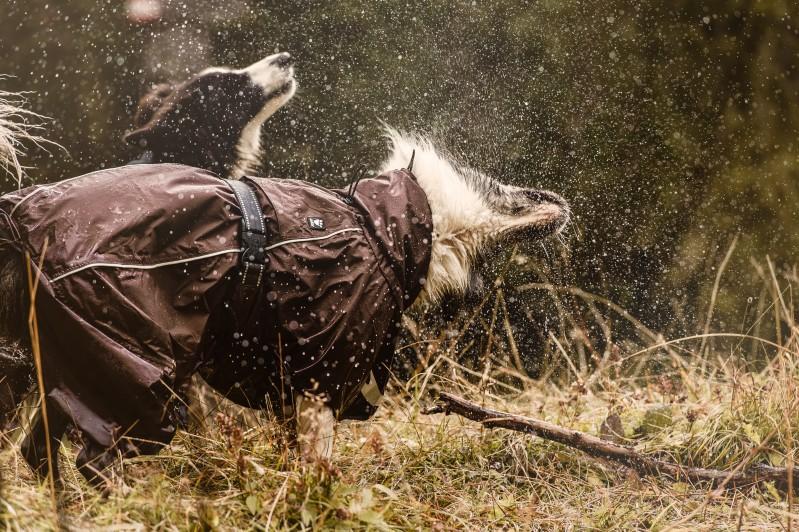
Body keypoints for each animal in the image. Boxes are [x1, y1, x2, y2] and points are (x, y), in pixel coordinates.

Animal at [0, 94, 568, 486]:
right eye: (512, 188)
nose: (561, 201)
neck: (382, 226)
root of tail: (20, 217)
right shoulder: (321, 373)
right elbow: (318, 465)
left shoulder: (291, 384)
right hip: (135, 366)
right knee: (94, 457)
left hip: (78, 362)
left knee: (40, 452)